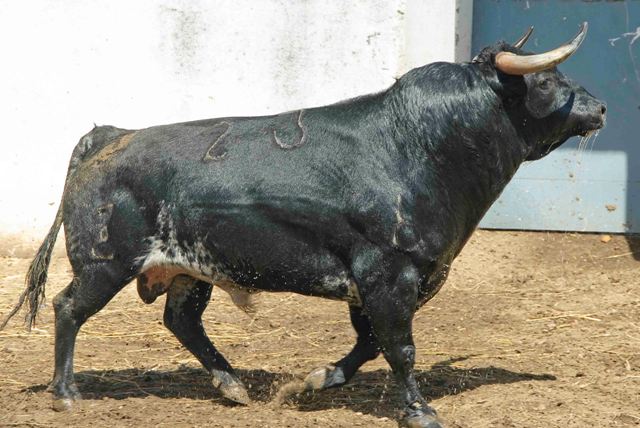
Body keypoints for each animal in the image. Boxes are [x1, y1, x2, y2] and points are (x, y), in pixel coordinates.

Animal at [3, 25, 604, 426]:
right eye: (546, 80)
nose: (598, 108)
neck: (420, 145)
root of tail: (109, 136)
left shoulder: (378, 284)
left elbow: (369, 345)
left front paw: (315, 381)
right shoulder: (388, 276)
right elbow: (400, 347)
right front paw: (418, 410)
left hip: (188, 270)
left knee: (182, 321)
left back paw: (233, 385)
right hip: (106, 262)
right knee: (69, 308)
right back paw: (66, 393)